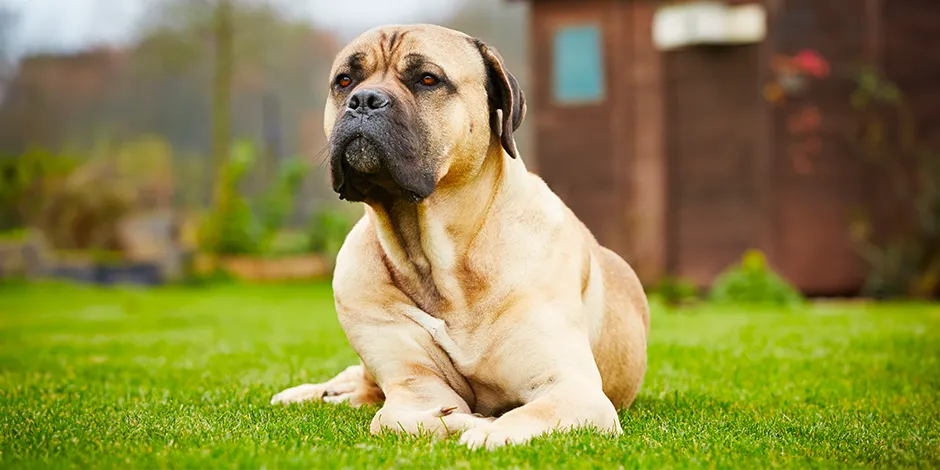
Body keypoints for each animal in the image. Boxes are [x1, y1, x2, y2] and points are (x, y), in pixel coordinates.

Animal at [272, 23, 648, 450]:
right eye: (345, 80)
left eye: (427, 79)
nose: (364, 100)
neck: (437, 262)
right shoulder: (414, 386)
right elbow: (394, 420)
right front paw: (462, 421)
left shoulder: (573, 389)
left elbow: (517, 419)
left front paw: (485, 429)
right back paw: (308, 393)